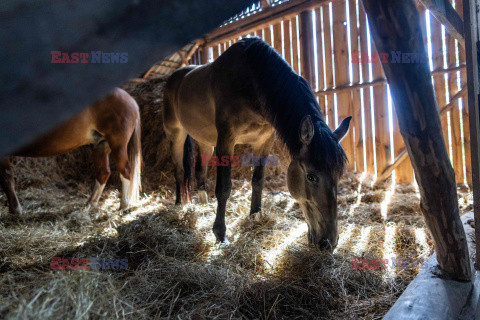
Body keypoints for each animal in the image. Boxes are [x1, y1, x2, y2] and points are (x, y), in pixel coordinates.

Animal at [0, 87, 142, 215]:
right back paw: (89, 204)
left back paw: (123, 205)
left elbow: (7, 180)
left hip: (118, 146)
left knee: (125, 171)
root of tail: (131, 100)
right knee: (103, 173)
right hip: (101, 145)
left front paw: (16, 210)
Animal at [163, 38, 350, 250]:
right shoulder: (225, 141)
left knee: (200, 172)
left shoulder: (264, 142)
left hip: (205, 141)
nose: (328, 242)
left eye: (339, 174)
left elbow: (258, 181)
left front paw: (255, 216)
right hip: (176, 134)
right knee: (179, 171)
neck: (249, 82)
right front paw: (220, 233)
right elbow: (224, 187)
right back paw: (180, 205)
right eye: (311, 176)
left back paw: (203, 204)